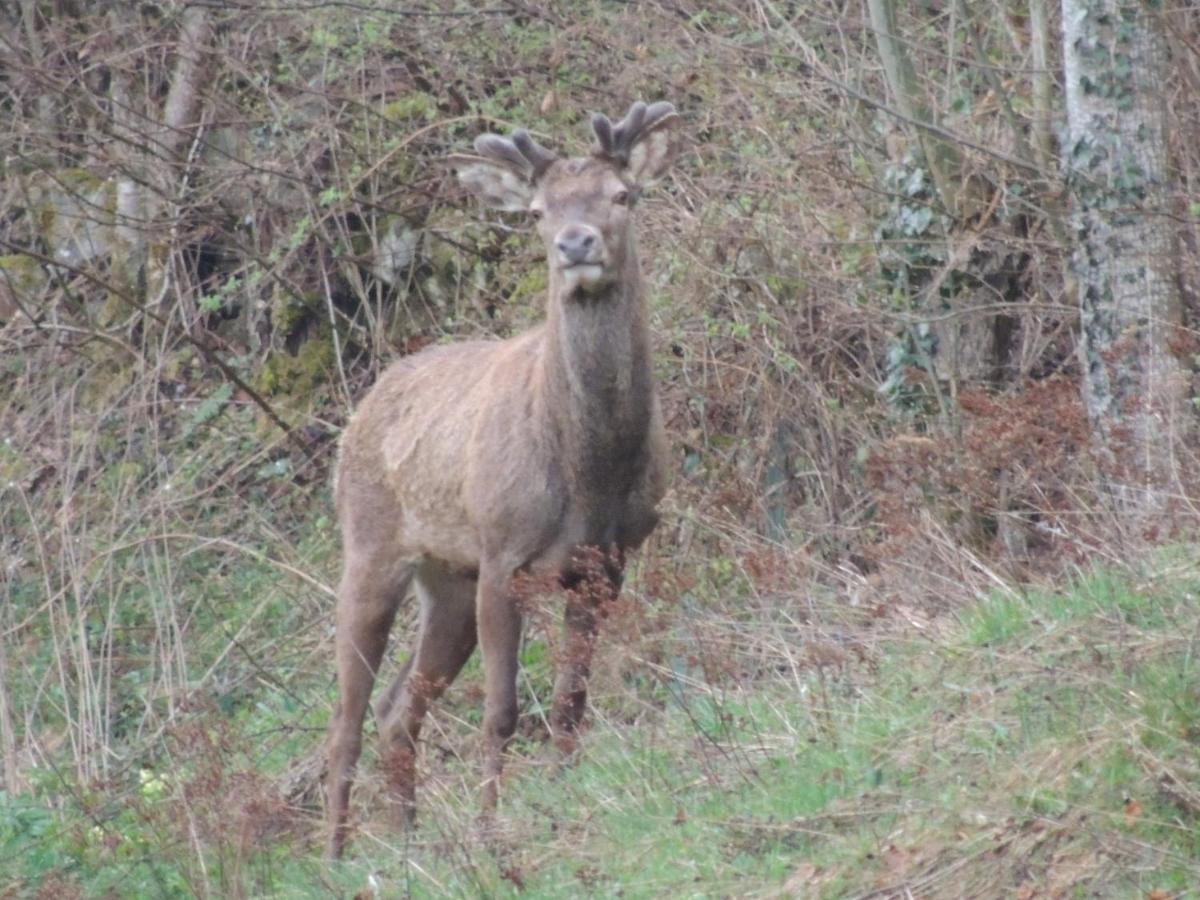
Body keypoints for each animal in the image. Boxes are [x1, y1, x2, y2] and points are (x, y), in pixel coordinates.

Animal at [324, 102, 681, 854]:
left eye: (623, 196)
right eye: (540, 212)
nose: (575, 243)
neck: (590, 476)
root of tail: (360, 411)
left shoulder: (607, 562)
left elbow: (572, 702)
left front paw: (565, 802)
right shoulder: (502, 555)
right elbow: (503, 710)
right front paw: (492, 832)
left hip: (447, 581)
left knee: (398, 709)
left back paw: (407, 839)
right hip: (371, 549)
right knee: (345, 721)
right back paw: (338, 856)